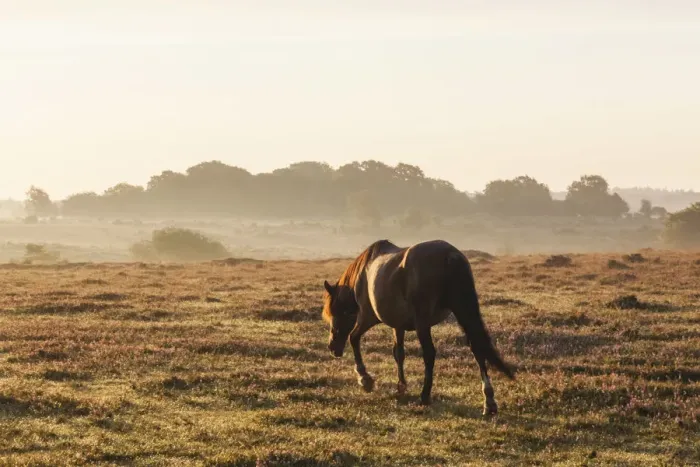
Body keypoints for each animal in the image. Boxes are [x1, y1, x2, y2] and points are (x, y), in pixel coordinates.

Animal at [321, 239, 515, 415]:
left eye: (333, 313)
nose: (332, 347)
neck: (363, 275)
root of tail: (449, 255)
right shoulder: (397, 325)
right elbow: (398, 353)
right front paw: (401, 386)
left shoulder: (367, 318)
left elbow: (354, 338)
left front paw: (365, 379)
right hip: (463, 311)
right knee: (477, 348)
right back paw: (489, 401)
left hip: (423, 323)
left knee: (429, 353)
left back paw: (425, 396)